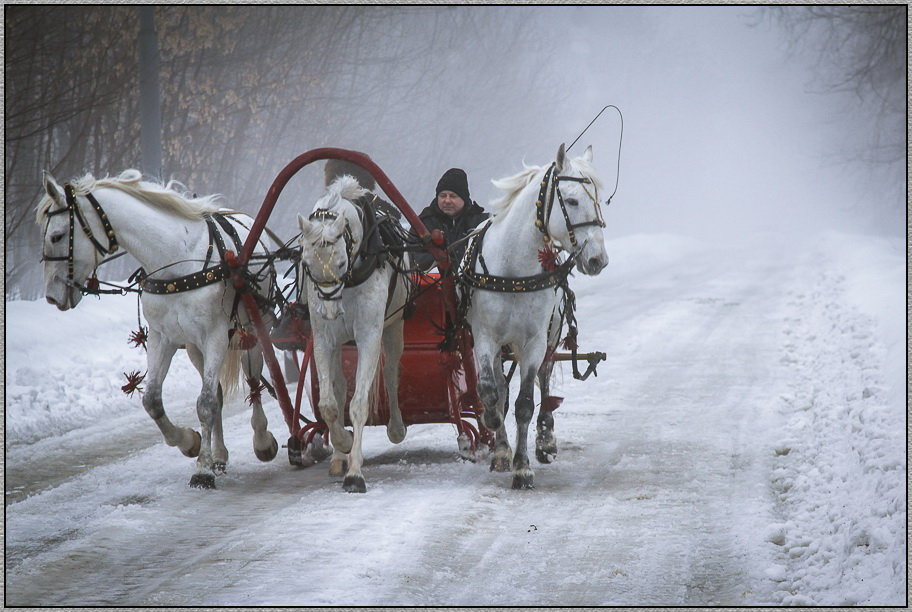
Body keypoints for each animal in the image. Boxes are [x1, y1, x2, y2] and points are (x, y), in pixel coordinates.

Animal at [36, 169, 278, 488]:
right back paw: (219, 454)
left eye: (57, 235)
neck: (176, 260)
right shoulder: (164, 338)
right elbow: (153, 399)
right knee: (218, 392)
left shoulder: (215, 336)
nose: (51, 296)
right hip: (196, 349)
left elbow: (205, 402)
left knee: (252, 381)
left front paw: (202, 470)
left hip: (249, 330)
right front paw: (190, 442)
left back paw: (262, 440)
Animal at [296, 173, 410, 492]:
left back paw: (396, 427)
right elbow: (329, 404)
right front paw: (343, 443)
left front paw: (355, 472)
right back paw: (338, 455)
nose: (330, 312)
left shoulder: (369, 335)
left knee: (392, 374)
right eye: (305, 263)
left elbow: (359, 404)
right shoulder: (324, 339)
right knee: (337, 388)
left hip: (393, 327)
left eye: (340, 262)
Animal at [460, 143, 608, 488]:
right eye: (572, 200)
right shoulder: (485, 337)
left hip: (551, 335)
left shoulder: (534, 341)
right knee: (500, 387)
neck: (514, 272)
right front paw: (497, 438)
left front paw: (523, 467)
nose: (598, 259)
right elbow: (491, 392)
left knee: (545, 377)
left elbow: (525, 403)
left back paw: (545, 438)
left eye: (598, 199)